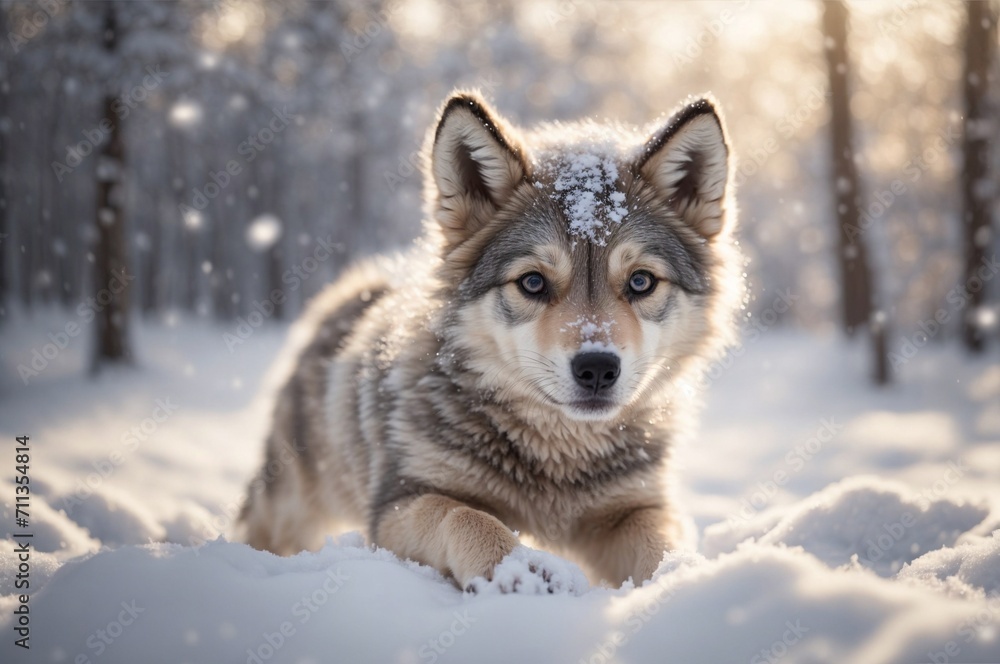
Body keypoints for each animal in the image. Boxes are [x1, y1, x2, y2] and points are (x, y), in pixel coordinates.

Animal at [238, 90, 743, 590]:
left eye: (641, 282)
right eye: (533, 283)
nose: (598, 367)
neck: (559, 458)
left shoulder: (635, 505)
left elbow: (660, 543)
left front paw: (682, 579)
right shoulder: (398, 504)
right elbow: (465, 517)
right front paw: (519, 571)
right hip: (292, 506)